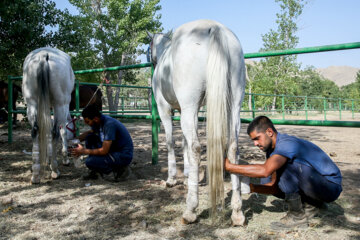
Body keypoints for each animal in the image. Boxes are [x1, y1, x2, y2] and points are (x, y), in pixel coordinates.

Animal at [22, 47, 75, 184]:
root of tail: (43, 54)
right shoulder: (63, 106)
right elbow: (63, 131)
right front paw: (65, 158)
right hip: (59, 104)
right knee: (55, 132)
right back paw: (55, 170)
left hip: (32, 102)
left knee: (35, 131)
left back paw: (35, 174)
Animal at [149, 20, 250, 225]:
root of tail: (214, 28)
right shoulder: (184, 110)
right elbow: (183, 143)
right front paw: (188, 173)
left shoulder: (166, 109)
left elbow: (171, 142)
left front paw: (172, 178)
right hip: (233, 105)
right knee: (233, 147)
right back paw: (237, 212)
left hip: (191, 105)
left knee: (196, 147)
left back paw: (190, 210)